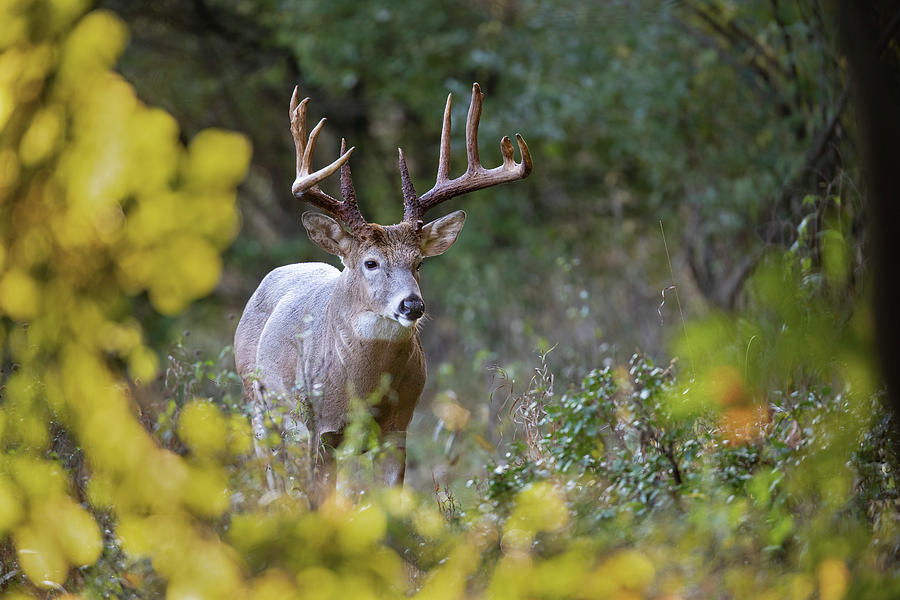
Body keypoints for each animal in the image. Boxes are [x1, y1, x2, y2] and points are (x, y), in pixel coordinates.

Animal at [234, 82, 536, 504]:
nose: (412, 304)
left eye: (419, 263)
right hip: (257, 401)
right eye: (371, 263)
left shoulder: (397, 429)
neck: (360, 389)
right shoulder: (318, 430)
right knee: (271, 473)